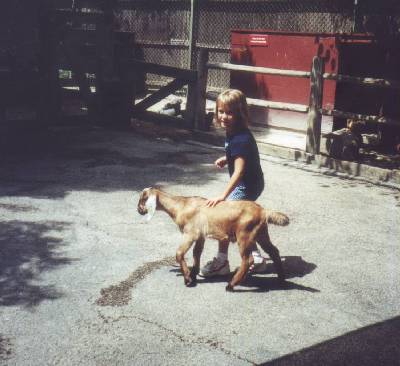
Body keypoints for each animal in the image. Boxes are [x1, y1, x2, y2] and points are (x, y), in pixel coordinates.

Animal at [137, 187, 288, 290]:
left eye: (142, 199)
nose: (139, 210)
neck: (181, 206)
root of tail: (263, 211)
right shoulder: (200, 236)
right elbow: (196, 254)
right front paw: (193, 275)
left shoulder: (190, 233)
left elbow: (179, 254)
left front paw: (187, 279)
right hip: (261, 234)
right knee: (274, 251)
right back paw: (281, 279)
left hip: (245, 235)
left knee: (247, 260)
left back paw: (231, 285)